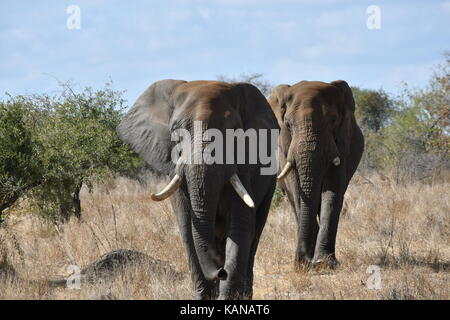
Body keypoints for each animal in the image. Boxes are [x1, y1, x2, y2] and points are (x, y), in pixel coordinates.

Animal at [117, 79, 278, 298]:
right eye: (177, 133)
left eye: (234, 132)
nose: (221, 271)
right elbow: (187, 228)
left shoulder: (246, 168)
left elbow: (240, 226)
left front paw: (227, 297)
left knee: (255, 233)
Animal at [268, 79, 364, 268]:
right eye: (288, 124)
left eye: (333, 120)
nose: (302, 260)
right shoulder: (286, 148)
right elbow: (298, 192)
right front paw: (307, 262)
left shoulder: (342, 142)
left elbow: (332, 191)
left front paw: (324, 262)